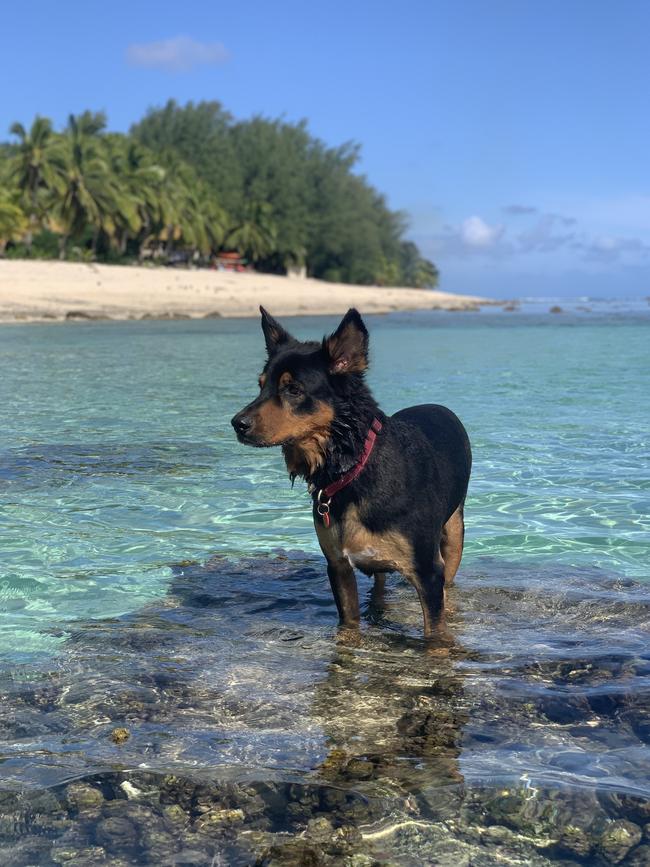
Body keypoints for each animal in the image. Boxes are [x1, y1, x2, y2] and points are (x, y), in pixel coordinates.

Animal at [230, 308, 468, 636]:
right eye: (260, 385)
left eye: (293, 389)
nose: (237, 424)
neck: (352, 468)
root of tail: (439, 406)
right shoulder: (338, 566)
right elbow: (349, 624)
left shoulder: (428, 573)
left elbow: (435, 634)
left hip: (454, 533)